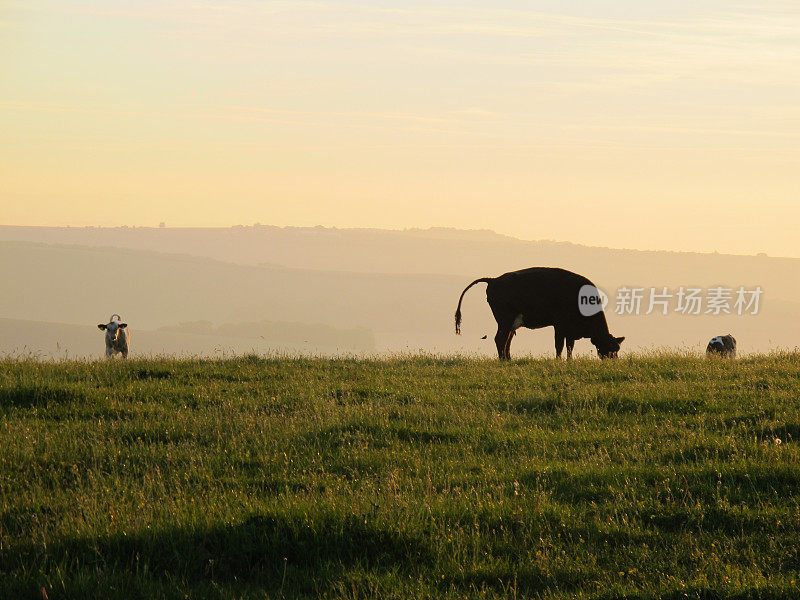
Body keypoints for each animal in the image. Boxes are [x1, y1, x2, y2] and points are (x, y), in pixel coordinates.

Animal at [456, 268, 624, 360]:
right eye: (609, 349)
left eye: (617, 349)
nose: (614, 362)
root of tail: (494, 280)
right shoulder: (559, 325)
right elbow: (559, 346)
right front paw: (558, 361)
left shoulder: (570, 330)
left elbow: (570, 347)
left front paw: (569, 361)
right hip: (505, 320)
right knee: (500, 339)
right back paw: (503, 360)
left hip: (510, 323)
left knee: (507, 340)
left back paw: (509, 359)